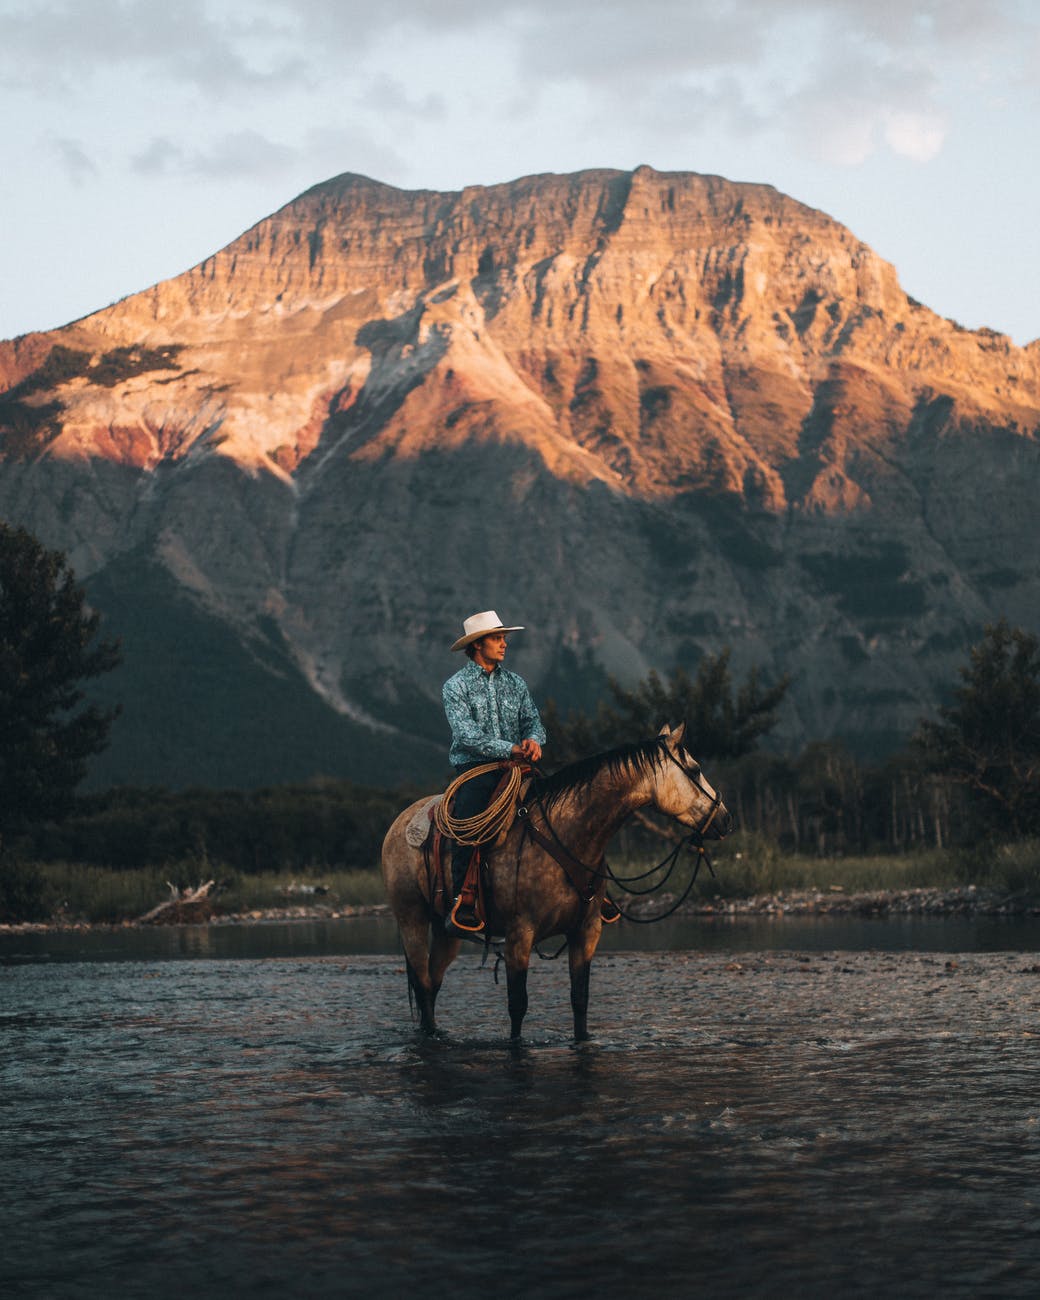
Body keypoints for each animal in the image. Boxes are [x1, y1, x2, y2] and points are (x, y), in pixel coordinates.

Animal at [379, 722, 732, 1042]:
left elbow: (580, 1001)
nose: (726, 819)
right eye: (696, 769)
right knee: (423, 983)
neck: (566, 835)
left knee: (433, 982)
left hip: (446, 930)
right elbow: (517, 1006)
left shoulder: (586, 933)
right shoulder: (519, 936)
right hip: (411, 919)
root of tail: (400, 821)